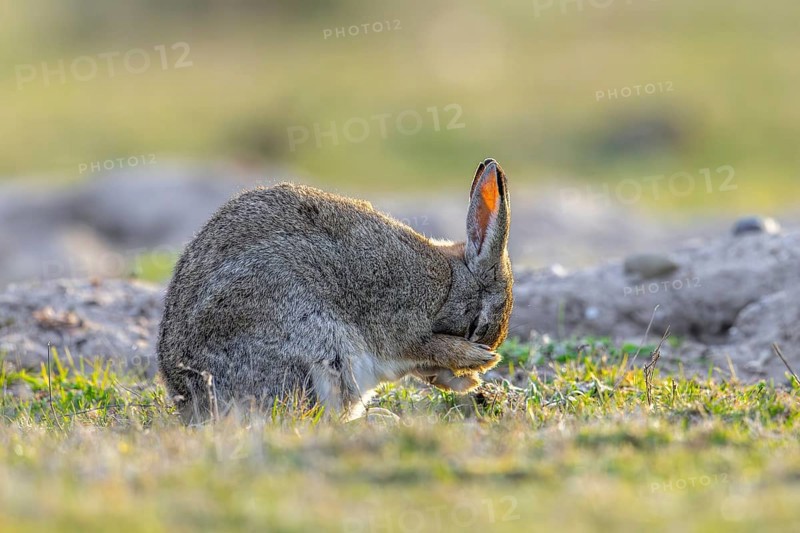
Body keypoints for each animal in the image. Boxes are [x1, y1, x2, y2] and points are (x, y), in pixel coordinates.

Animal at [157, 158, 513, 423]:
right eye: (476, 324)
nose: (476, 367)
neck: (450, 283)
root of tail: (189, 396)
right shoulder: (404, 318)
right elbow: (425, 345)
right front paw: (476, 361)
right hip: (319, 345)